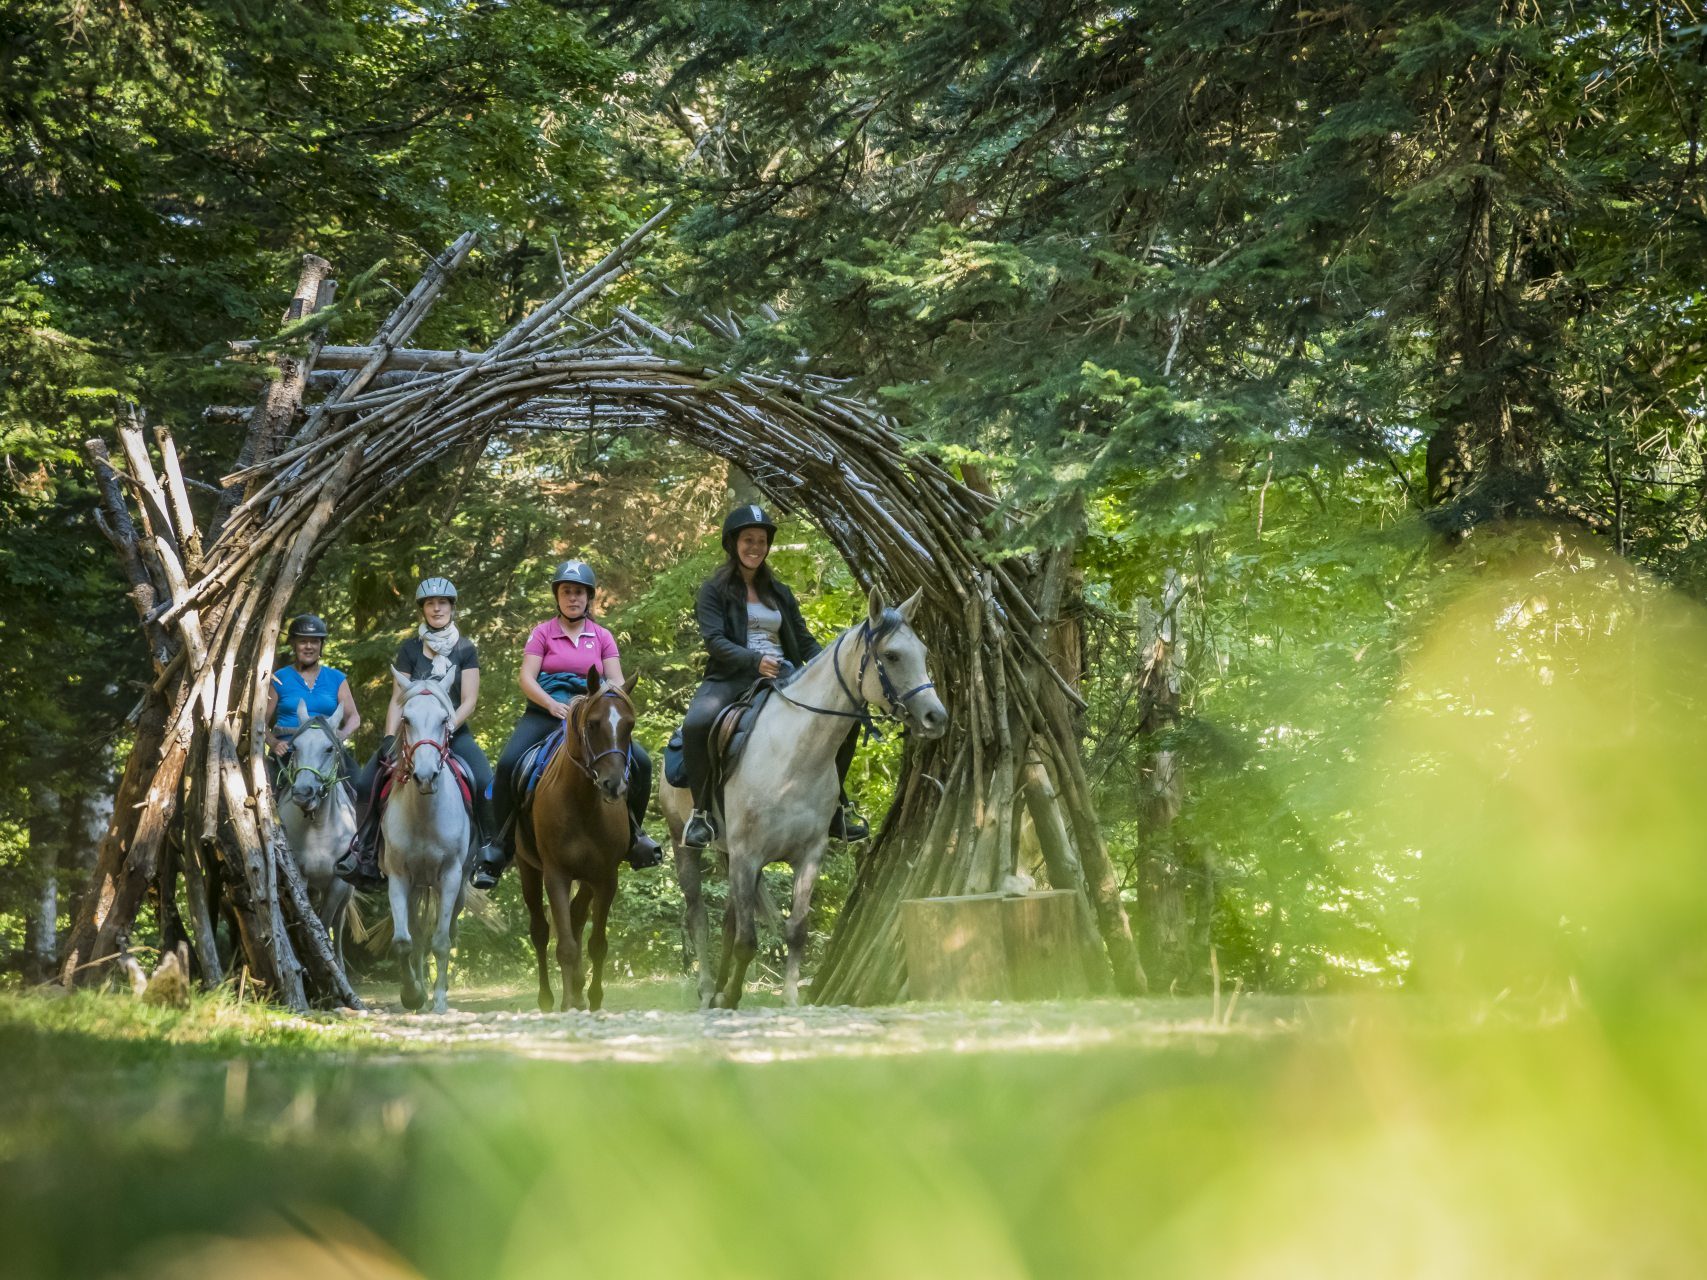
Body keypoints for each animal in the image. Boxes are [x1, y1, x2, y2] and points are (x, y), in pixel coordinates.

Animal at [274, 703, 355, 969]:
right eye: (295, 747)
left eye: (329, 748)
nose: (303, 792)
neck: (318, 826)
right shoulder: (299, 876)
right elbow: (311, 920)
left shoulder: (339, 883)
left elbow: (326, 921)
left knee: (339, 924)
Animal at [384, 672, 471, 1010]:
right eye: (406, 719)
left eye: (444, 719)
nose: (425, 776)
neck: (423, 816)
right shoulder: (398, 877)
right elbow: (403, 941)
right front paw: (412, 994)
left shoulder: (450, 877)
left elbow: (442, 941)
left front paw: (440, 999)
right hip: (415, 887)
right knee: (417, 935)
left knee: (445, 931)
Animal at [512, 672, 641, 1010]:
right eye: (593, 724)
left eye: (629, 725)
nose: (614, 785)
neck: (582, 803)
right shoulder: (556, 874)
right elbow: (566, 946)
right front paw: (569, 1002)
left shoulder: (606, 877)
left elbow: (596, 943)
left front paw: (591, 998)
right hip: (528, 869)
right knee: (541, 931)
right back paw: (548, 999)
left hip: (587, 878)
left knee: (576, 917)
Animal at [662, 583, 955, 1010]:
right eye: (891, 655)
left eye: (923, 651)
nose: (937, 717)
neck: (794, 755)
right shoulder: (748, 854)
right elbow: (747, 939)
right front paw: (731, 997)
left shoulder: (807, 854)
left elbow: (795, 930)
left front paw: (788, 1001)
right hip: (686, 845)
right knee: (698, 914)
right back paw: (706, 990)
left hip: (730, 855)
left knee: (730, 919)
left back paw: (716, 991)